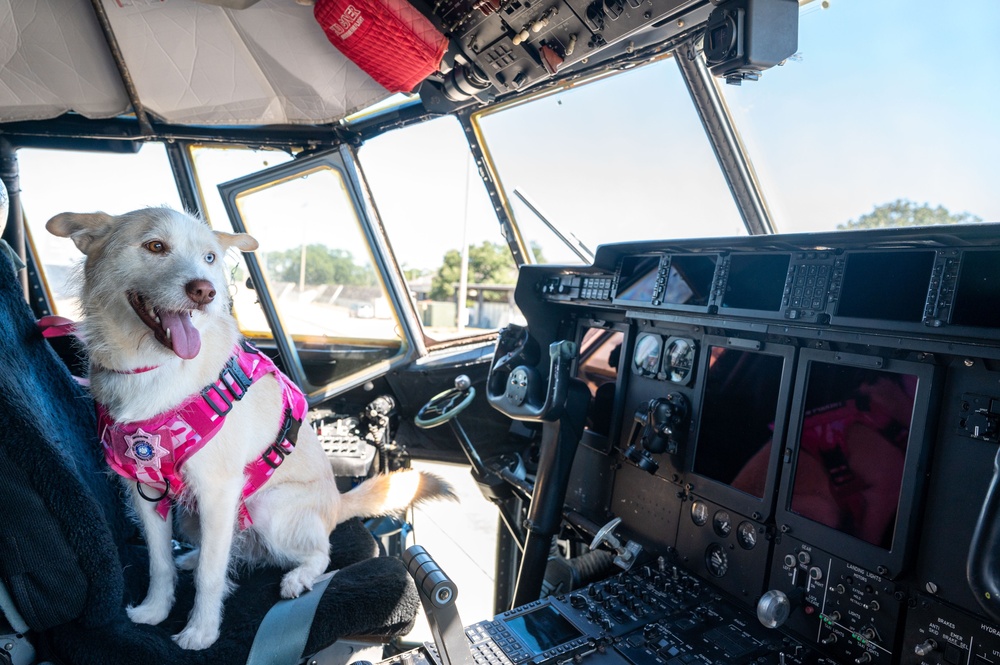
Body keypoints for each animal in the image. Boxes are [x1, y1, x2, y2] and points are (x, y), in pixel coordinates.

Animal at [47, 208, 454, 648]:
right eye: (155, 246)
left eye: (209, 257)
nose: (204, 292)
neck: (151, 368)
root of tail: (336, 504)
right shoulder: (147, 493)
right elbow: (160, 563)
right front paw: (155, 611)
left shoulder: (218, 490)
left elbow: (211, 575)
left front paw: (201, 631)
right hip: (195, 516)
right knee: (232, 547)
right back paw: (193, 556)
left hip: (265, 507)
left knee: (317, 553)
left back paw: (297, 578)